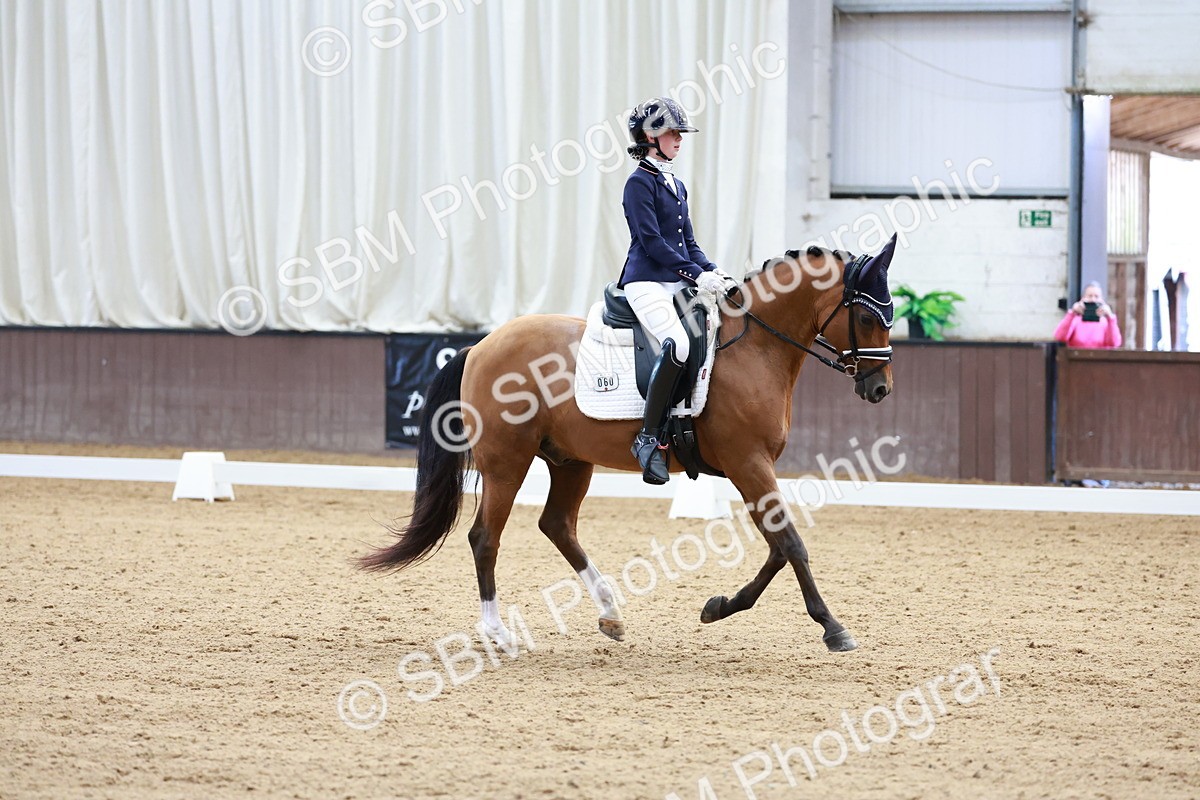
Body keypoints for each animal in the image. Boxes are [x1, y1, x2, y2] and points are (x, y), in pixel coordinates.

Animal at [359, 235, 897, 653]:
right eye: (870, 318)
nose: (880, 389)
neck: (755, 347)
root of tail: (482, 345)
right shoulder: (748, 463)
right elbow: (791, 543)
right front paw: (833, 628)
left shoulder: (752, 468)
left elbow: (778, 547)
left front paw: (718, 607)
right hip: (506, 462)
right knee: (485, 538)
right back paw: (498, 635)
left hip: (570, 460)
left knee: (557, 525)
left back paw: (611, 614)